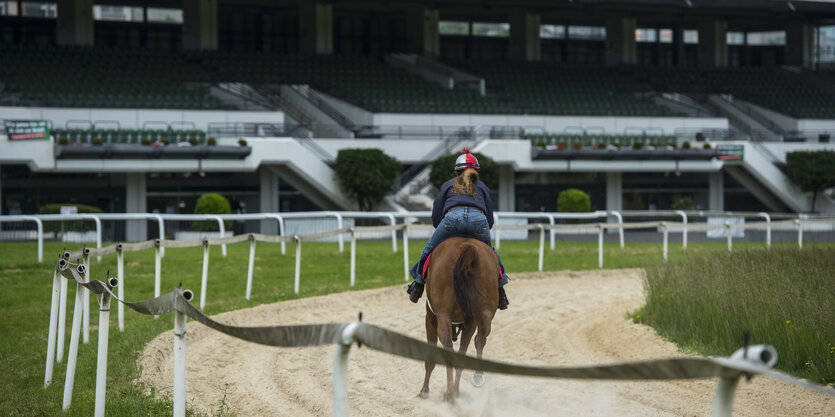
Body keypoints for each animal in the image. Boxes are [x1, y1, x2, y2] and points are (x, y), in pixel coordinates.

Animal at [422, 234, 500, 400]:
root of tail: (468, 249)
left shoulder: (431, 317)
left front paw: (424, 391)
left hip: (443, 315)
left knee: (448, 345)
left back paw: (450, 393)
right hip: (481, 315)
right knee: (476, 341)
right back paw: (461, 387)